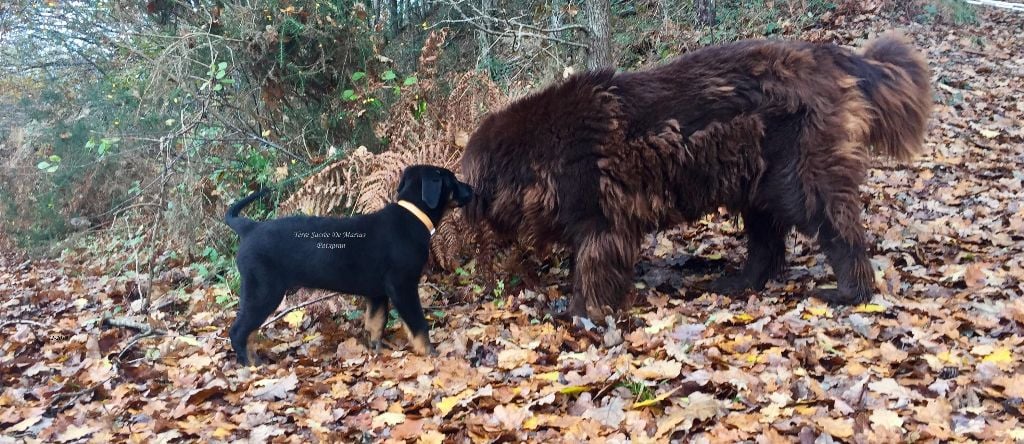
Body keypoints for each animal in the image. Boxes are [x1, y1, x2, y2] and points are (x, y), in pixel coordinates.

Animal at [224, 164, 471, 366]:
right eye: (453, 180)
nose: (472, 189)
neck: (413, 215)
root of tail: (249, 228)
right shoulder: (403, 286)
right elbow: (418, 324)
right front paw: (430, 353)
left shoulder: (377, 293)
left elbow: (375, 322)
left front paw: (376, 350)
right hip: (263, 291)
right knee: (238, 331)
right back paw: (250, 365)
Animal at [460, 32, 933, 317]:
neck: (539, 155)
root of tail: (831, 56)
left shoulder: (600, 221)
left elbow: (592, 270)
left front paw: (582, 313)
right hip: (756, 187)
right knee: (766, 246)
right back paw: (737, 283)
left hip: (800, 181)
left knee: (840, 231)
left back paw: (849, 292)